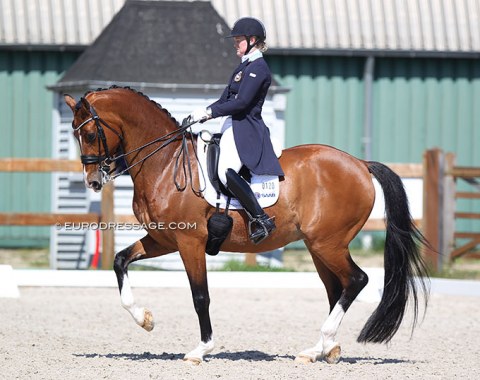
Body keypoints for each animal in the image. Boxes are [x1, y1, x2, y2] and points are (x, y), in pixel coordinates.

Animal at [65, 86, 430, 366]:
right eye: (74, 132)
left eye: (89, 133)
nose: (92, 181)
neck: (165, 163)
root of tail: (359, 163)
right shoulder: (163, 240)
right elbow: (120, 261)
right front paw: (144, 319)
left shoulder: (189, 242)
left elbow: (200, 296)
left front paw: (201, 350)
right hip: (319, 247)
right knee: (337, 288)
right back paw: (321, 350)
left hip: (328, 243)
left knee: (356, 280)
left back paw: (323, 343)